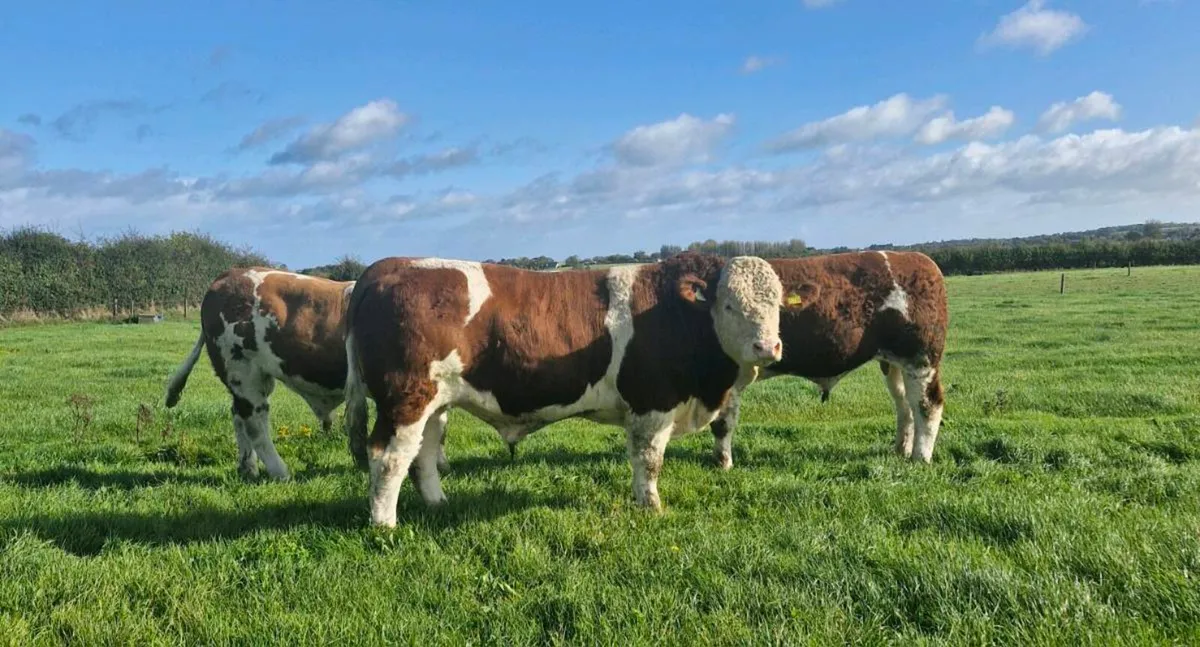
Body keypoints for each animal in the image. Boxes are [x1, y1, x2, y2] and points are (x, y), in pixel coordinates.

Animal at [163, 267, 450, 481]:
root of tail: (229, 275)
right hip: (244, 372)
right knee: (255, 423)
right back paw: (280, 472)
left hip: (250, 379)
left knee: (239, 418)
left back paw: (248, 468)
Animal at [342, 252, 808, 527]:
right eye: (729, 304)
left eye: (776, 304)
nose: (768, 346)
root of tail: (388, 266)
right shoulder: (652, 404)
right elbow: (648, 461)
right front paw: (651, 507)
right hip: (405, 399)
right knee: (388, 458)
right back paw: (385, 526)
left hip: (436, 403)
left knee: (422, 454)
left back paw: (438, 503)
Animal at [708, 250, 948, 469]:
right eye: (729, 306)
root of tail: (919, 259)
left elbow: (722, 423)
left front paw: (723, 464)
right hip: (894, 363)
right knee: (904, 403)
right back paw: (901, 449)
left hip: (921, 360)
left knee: (927, 405)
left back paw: (920, 458)